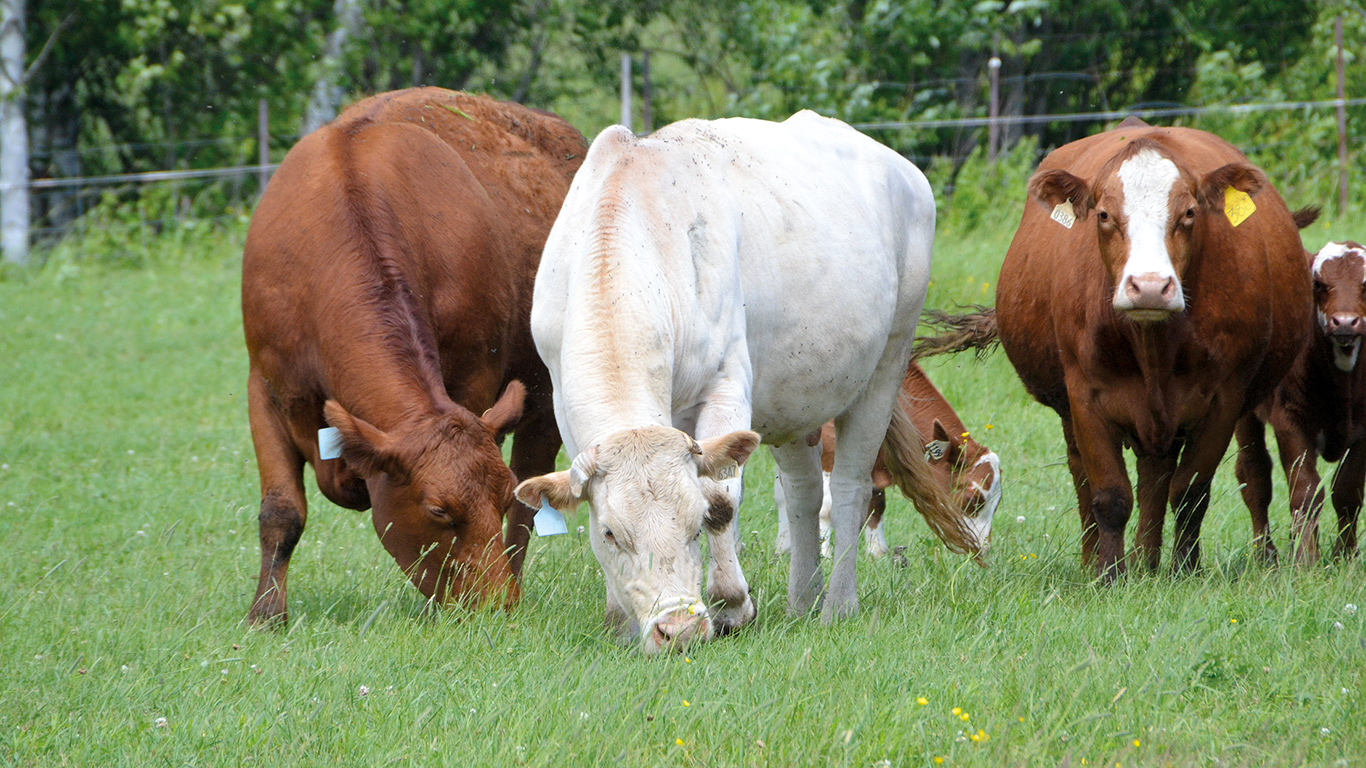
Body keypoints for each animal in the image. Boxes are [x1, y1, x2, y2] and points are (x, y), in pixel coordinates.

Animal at [243, 88, 584, 623]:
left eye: (497, 496)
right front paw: (266, 616)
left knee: (530, 501)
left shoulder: (473, 380)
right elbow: (281, 512)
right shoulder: (266, 386)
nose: (496, 605)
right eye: (437, 511)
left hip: (549, 394)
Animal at [781, 358, 1005, 554]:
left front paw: (877, 553)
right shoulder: (827, 446)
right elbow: (826, 507)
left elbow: (876, 503)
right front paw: (825, 556)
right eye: (971, 498)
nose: (983, 549)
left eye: (997, 503)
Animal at [994, 116, 1311, 576]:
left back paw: (1148, 561)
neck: (1153, 344)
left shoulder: (1224, 398)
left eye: (1189, 212)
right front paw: (1108, 575)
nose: (1148, 287)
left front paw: (1184, 570)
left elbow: (1189, 492)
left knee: (1158, 479)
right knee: (1085, 476)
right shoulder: (1084, 395)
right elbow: (1108, 494)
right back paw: (1102, 562)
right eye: (1104, 215)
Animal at [1240, 239, 1366, 563]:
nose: (1344, 322)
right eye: (1318, 284)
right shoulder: (1290, 421)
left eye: (1365, 284)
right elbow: (1306, 492)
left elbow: (1347, 491)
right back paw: (1265, 553)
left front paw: (1344, 555)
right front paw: (1305, 559)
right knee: (1254, 474)